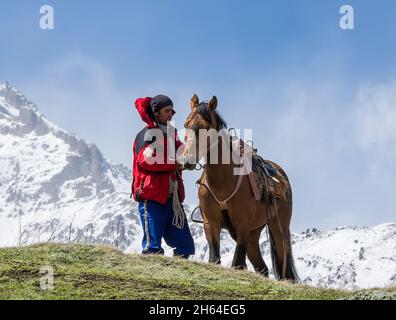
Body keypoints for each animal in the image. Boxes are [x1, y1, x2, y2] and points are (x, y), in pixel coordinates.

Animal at [181, 94, 298, 282]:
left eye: (204, 126)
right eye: (186, 124)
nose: (186, 160)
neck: (222, 180)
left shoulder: (242, 224)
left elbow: (237, 263)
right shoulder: (211, 223)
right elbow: (215, 258)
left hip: (278, 228)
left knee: (284, 264)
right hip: (253, 234)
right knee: (262, 268)